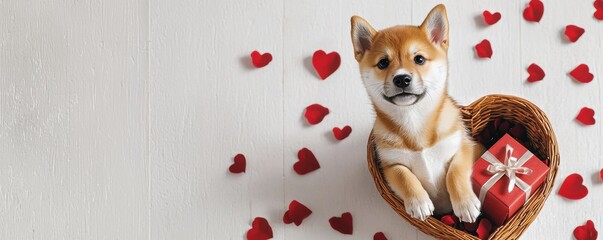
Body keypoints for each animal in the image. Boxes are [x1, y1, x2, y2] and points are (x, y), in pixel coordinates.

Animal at [350, 4, 482, 221]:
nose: (401, 79)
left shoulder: (464, 146)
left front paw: (465, 204)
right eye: (383, 63)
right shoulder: (390, 164)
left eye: (419, 59)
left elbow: (455, 173)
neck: (413, 119)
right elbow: (404, 176)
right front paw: (419, 202)